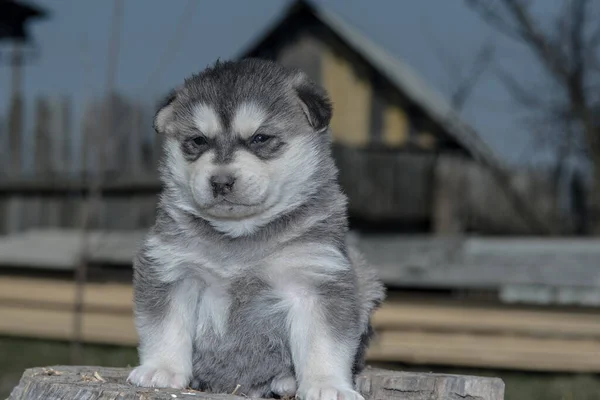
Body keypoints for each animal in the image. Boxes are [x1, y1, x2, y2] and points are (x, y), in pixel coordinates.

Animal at [129, 57, 386, 400]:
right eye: (198, 141)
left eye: (260, 138)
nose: (221, 181)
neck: (239, 235)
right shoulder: (170, 270)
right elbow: (164, 326)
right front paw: (162, 369)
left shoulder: (317, 277)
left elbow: (324, 342)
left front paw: (327, 385)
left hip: (366, 283)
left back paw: (287, 381)